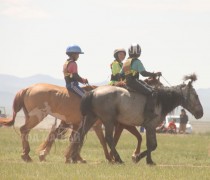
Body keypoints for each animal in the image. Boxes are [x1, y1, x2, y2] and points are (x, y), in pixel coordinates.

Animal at [67, 73, 203, 165]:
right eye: (196, 96)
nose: (200, 113)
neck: (160, 100)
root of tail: (93, 92)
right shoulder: (150, 126)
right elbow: (152, 145)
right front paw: (139, 158)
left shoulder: (150, 127)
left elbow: (151, 144)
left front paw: (146, 159)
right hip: (108, 120)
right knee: (108, 138)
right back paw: (118, 159)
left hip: (91, 117)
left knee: (80, 134)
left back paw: (74, 157)